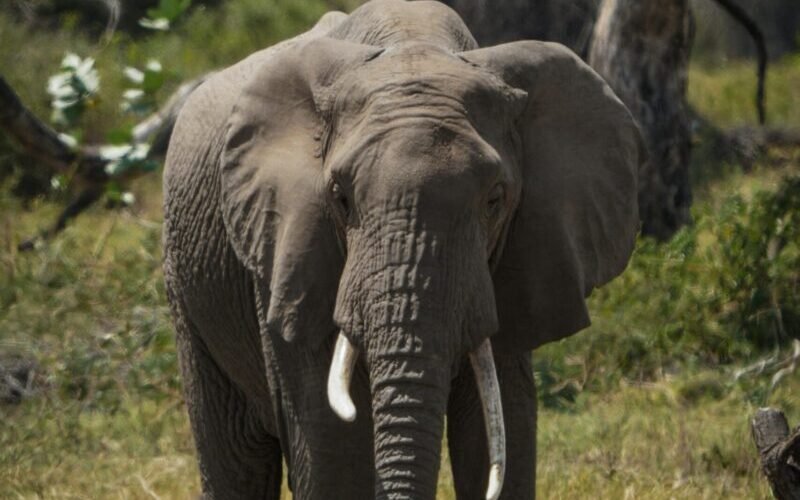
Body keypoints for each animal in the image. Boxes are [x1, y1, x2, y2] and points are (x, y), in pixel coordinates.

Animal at [161, 0, 643, 498]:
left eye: (495, 200)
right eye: (340, 198)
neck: (414, 43)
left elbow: (498, 424)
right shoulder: (291, 256)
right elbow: (334, 451)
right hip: (185, 286)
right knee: (235, 459)